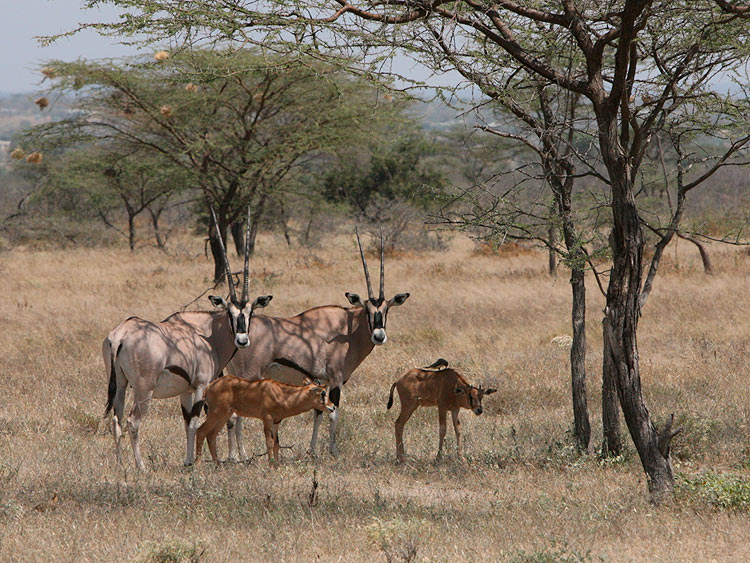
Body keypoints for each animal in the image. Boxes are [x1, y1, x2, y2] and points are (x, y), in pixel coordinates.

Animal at [197, 376, 334, 464]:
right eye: (322, 393)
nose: (332, 407)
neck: (282, 393)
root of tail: (209, 387)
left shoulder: (276, 422)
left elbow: (277, 444)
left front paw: (277, 465)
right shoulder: (267, 419)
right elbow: (269, 442)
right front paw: (271, 464)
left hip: (224, 415)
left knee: (211, 435)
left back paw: (217, 465)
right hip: (217, 414)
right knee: (201, 431)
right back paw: (198, 466)